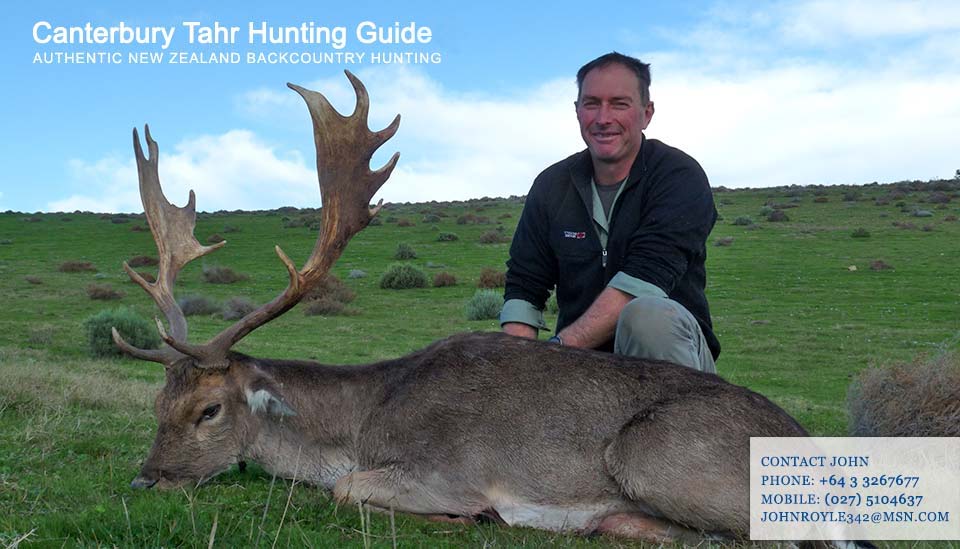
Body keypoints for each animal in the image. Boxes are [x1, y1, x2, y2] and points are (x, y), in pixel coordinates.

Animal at [114, 69, 824, 544]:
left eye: (209, 409)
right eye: (157, 404)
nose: (147, 479)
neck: (361, 427)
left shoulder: (449, 471)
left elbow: (349, 490)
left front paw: (472, 517)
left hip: (656, 457)